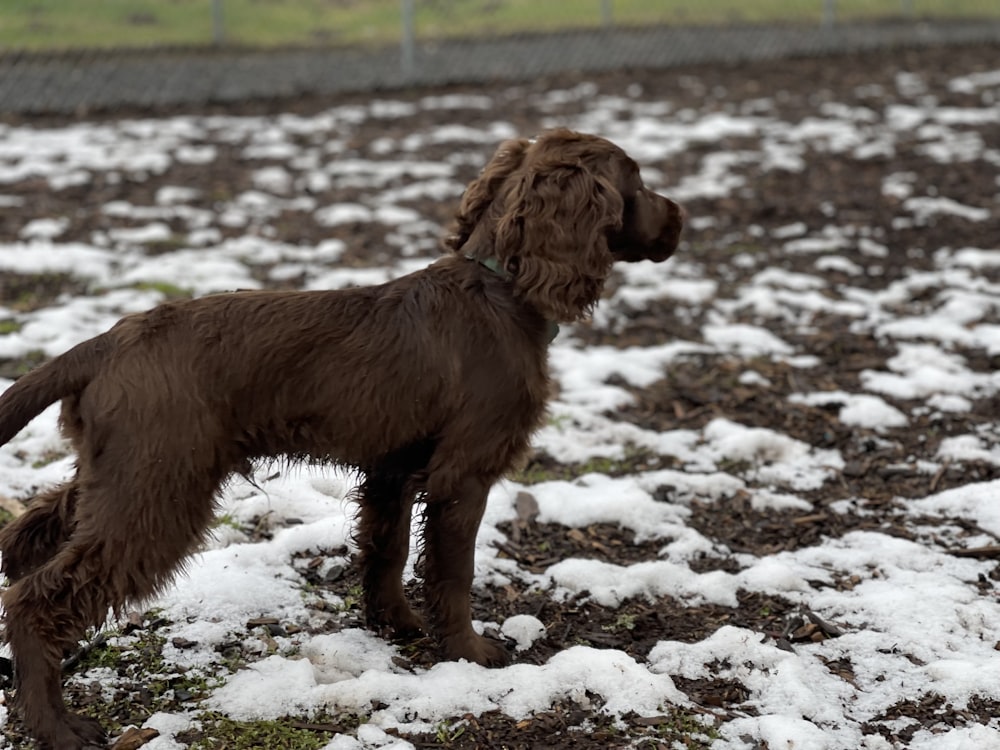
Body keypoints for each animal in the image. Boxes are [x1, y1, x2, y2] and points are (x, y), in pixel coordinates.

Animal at [0, 126, 680, 748]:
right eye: (638, 181)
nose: (679, 216)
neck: (501, 289)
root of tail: (106, 342)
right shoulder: (462, 474)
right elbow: (453, 571)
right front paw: (470, 652)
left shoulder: (392, 471)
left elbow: (387, 551)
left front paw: (395, 625)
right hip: (158, 485)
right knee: (36, 600)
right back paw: (56, 727)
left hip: (118, 473)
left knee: (23, 540)